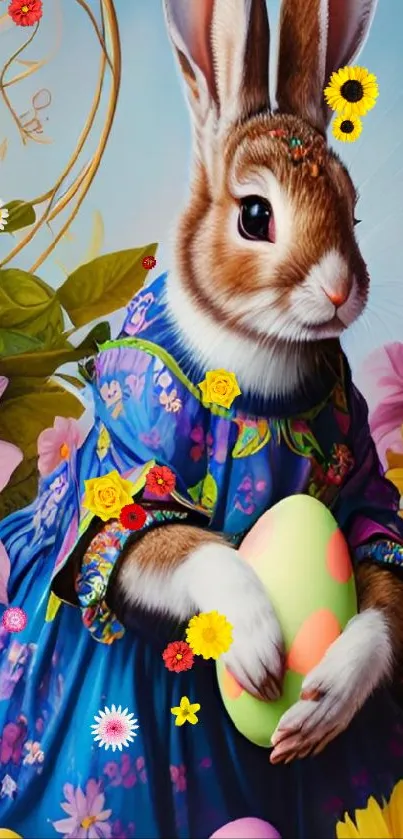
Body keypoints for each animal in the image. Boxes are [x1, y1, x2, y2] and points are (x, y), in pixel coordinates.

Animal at [102, 0, 403, 768]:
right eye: (255, 215)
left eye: (353, 211)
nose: (340, 291)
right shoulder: (129, 476)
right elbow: (174, 545)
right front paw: (260, 645)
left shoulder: (362, 477)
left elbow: (380, 571)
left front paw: (327, 698)